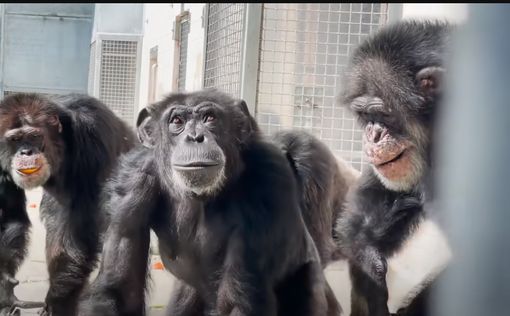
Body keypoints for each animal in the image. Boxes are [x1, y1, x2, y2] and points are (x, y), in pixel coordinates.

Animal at [0, 94, 135, 316]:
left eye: (35, 136)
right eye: (15, 140)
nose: (26, 152)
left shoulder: (92, 141)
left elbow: (76, 233)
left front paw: (57, 302)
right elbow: (9, 216)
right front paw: (3, 288)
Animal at [76, 89, 342, 316]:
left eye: (210, 118)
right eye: (177, 121)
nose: (195, 137)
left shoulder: (269, 182)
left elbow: (238, 302)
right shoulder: (131, 183)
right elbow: (119, 290)